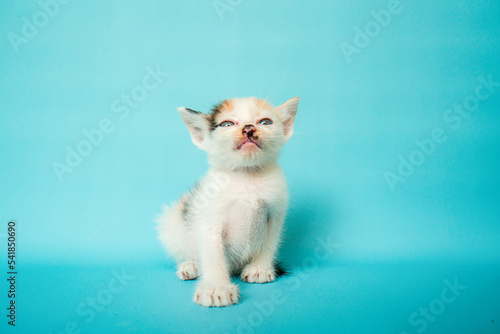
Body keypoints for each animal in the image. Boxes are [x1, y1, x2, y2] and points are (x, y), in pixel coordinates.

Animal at [156, 96, 298, 308]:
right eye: (227, 124)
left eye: (265, 122)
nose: (249, 128)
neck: (247, 176)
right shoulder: (209, 217)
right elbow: (212, 253)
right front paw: (216, 287)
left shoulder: (275, 211)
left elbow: (270, 241)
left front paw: (259, 268)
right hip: (172, 225)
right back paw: (191, 265)